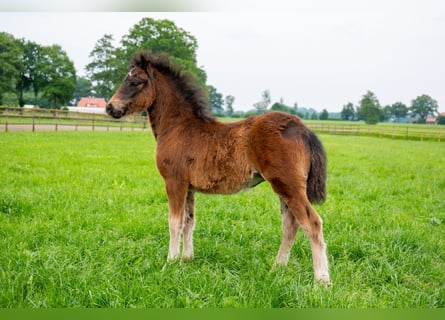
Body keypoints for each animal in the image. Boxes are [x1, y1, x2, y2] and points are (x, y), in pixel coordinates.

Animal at [106, 50, 330, 284]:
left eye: (135, 82)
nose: (110, 107)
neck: (178, 128)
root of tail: (302, 128)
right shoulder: (189, 187)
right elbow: (189, 221)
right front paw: (186, 260)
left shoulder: (174, 182)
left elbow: (174, 222)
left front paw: (170, 263)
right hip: (284, 188)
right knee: (290, 225)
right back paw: (276, 269)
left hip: (288, 185)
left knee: (312, 223)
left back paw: (322, 281)